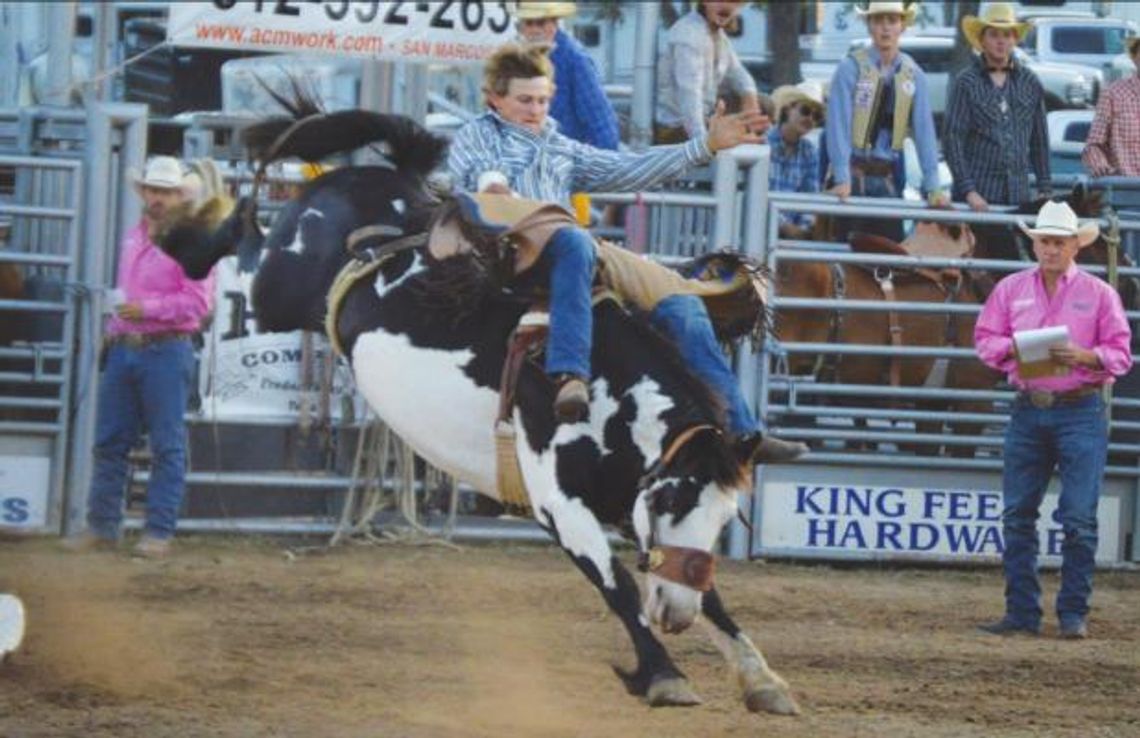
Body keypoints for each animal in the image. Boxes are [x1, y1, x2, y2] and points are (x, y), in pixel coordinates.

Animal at [160, 94, 802, 716]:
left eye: (725, 518)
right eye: (672, 500)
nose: (675, 614)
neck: (607, 395)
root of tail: (389, 180)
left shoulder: (630, 499)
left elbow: (706, 591)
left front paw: (761, 677)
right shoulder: (560, 504)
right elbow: (617, 585)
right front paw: (665, 675)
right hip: (275, 289)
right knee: (242, 241)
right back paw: (194, 214)